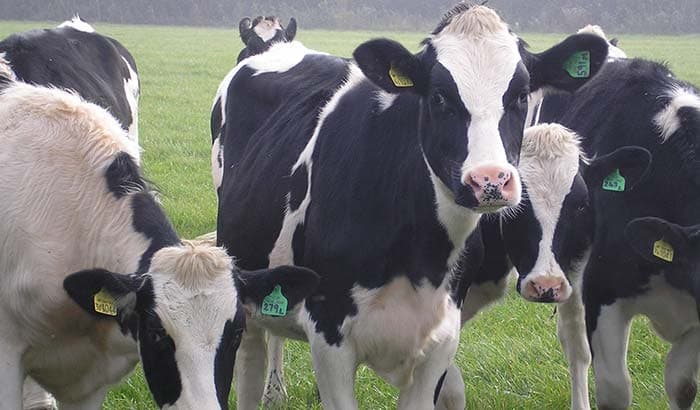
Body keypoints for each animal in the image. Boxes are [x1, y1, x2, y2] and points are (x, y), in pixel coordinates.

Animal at [212, 3, 608, 406]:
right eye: (439, 96)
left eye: (522, 95)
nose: (489, 181)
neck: (421, 256)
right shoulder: (328, 334)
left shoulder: (440, 338)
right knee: (251, 361)